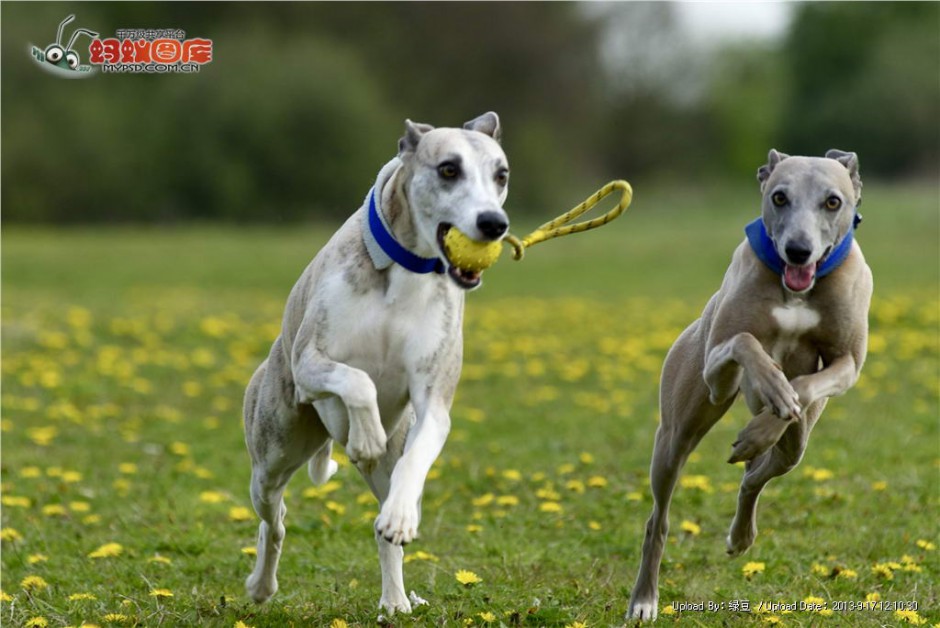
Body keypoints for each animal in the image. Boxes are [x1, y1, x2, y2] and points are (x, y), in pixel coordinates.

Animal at [241, 111, 506, 612]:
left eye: (500, 175)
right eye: (448, 169)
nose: (494, 223)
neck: (406, 267)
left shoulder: (432, 403)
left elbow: (418, 453)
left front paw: (399, 517)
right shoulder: (310, 363)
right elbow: (358, 380)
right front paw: (365, 435)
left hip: (380, 463)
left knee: (385, 519)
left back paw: (396, 599)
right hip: (273, 451)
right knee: (274, 517)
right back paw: (261, 584)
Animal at [628, 150, 872, 620]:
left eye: (833, 201)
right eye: (779, 196)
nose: (798, 250)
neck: (797, 289)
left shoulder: (848, 364)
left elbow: (807, 385)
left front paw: (767, 421)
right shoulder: (715, 372)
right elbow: (745, 342)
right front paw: (773, 386)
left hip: (797, 447)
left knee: (758, 473)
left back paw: (742, 528)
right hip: (675, 434)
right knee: (658, 519)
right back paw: (644, 599)